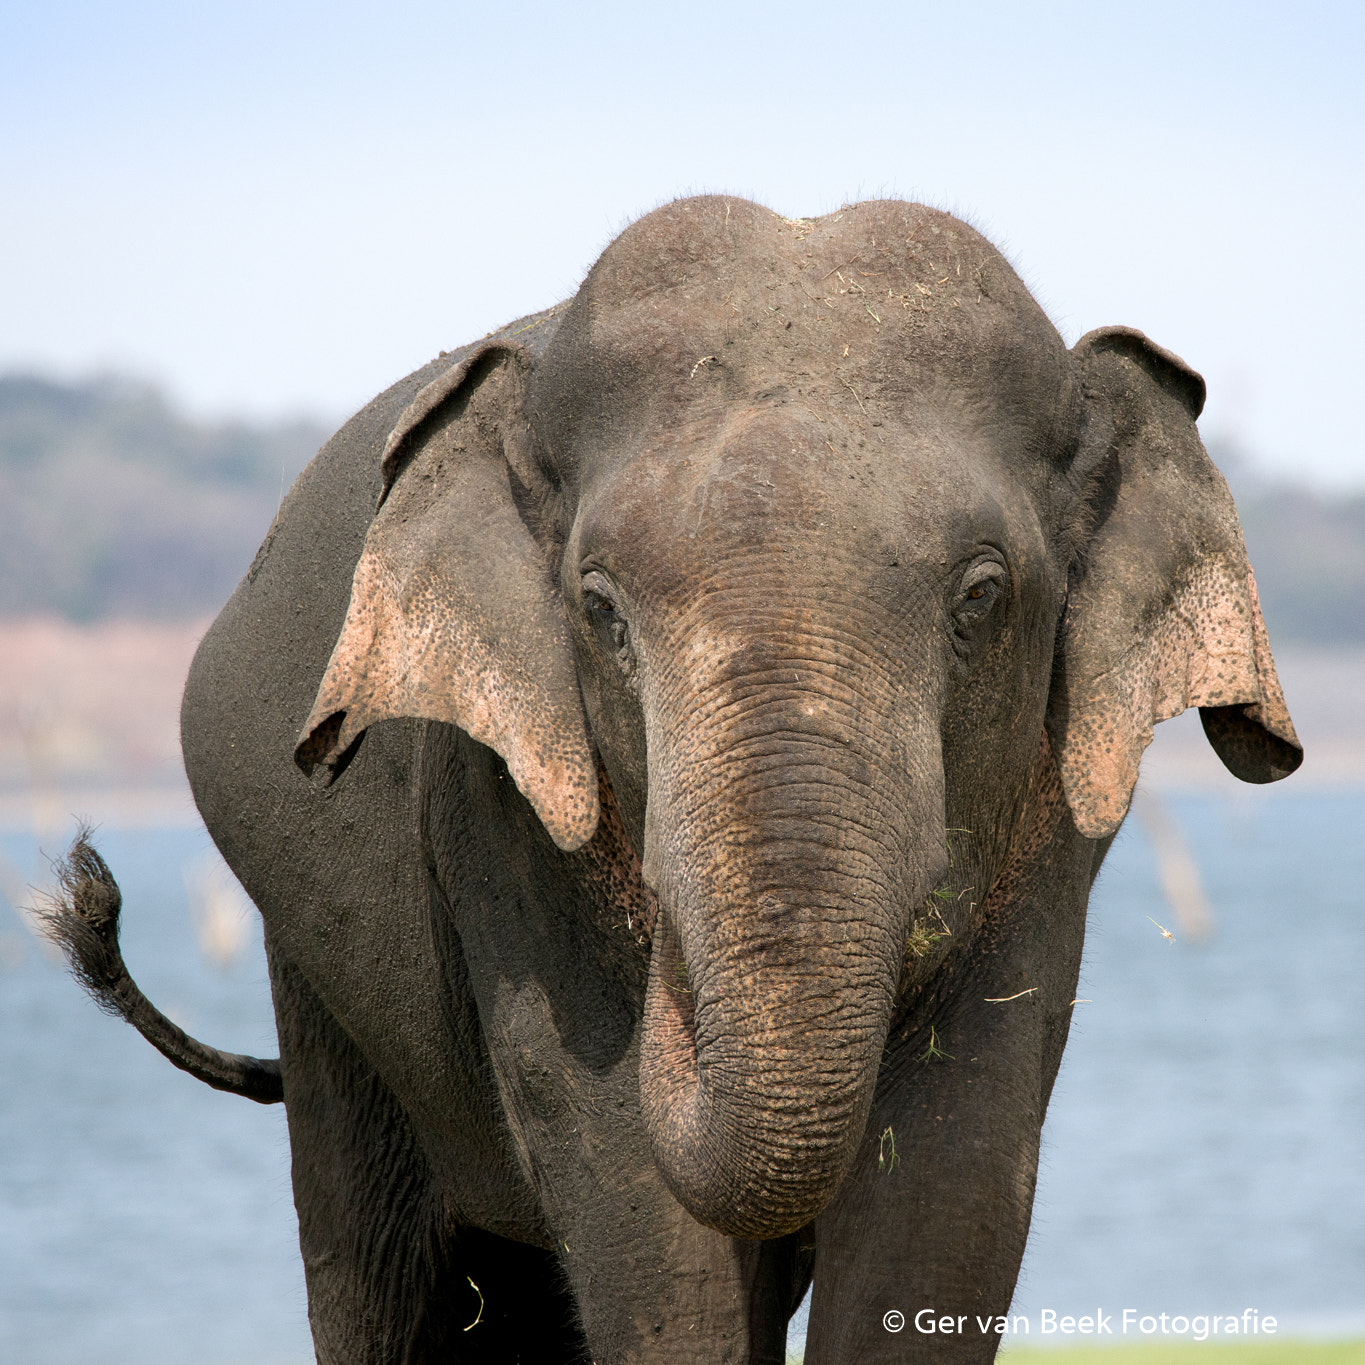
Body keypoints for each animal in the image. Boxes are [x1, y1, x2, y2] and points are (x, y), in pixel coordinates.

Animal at [47, 195, 1301, 1364]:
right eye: (599, 610)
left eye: (983, 599)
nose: (677, 965)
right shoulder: (498, 809)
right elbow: (626, 1182)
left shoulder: (1052, 819)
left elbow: (957, 1170)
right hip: (318, 981)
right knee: (380, 1274)